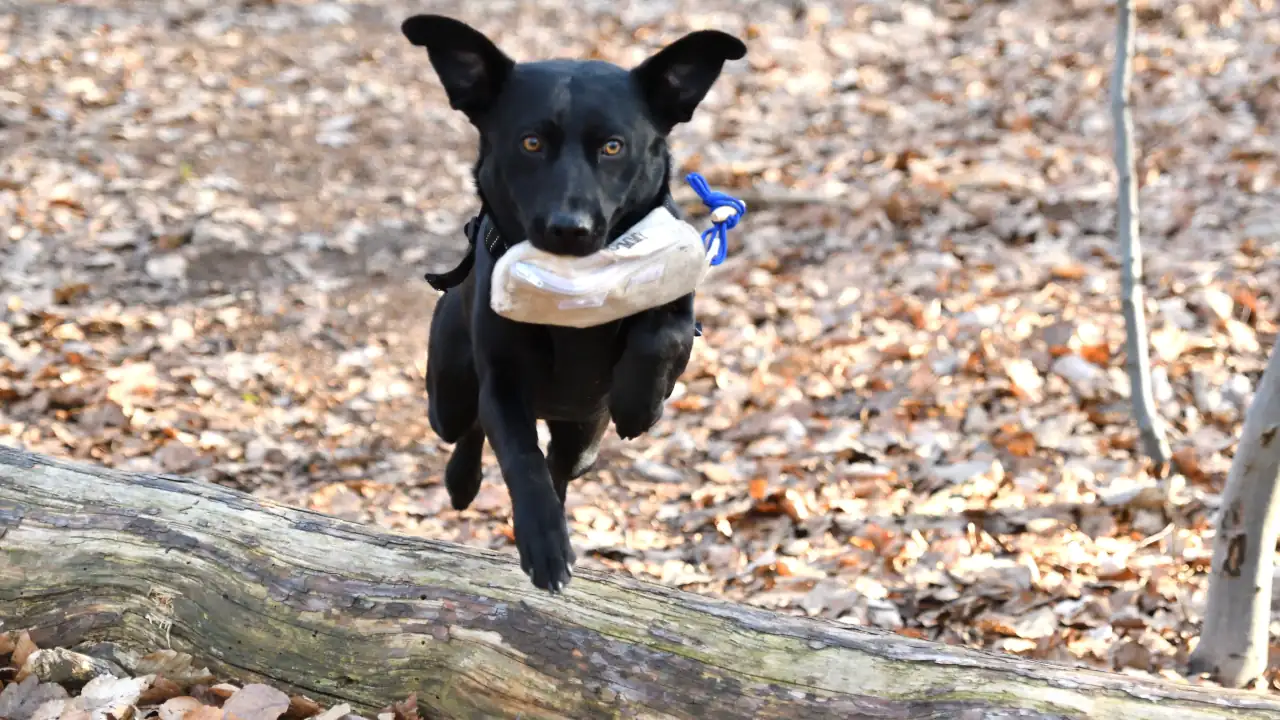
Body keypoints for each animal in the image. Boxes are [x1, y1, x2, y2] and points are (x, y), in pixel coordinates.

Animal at [401, 14, 747, 591]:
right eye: (531, 143)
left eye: (613, 147)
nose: (570, 228)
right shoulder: (502, 384)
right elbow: (521, 459)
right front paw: (543, 545)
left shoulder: (677, 314)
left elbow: (664, 335)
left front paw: (639, 401)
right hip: (446, 394)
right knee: (468, 428)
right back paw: (461, 482)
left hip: (583, 435)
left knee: (561, 465)